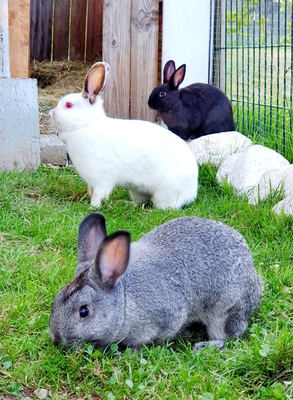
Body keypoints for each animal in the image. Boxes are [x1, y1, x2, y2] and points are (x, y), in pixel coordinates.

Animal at [49, 61, 197, 209]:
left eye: (68, 105)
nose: (51, 114)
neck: (86, 125)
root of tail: (193, 190)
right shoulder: (92, 182)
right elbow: (91, 192)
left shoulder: (102, 180)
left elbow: (98, 195)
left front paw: (93, 207)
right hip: (137, 190)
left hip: (165, 193)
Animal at [49, 214, 262, 348]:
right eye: (56, 300)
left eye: (83, 312)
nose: (56, 338)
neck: (124, 302)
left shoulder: (168, 317)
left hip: (224, 310)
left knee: (229, 335)